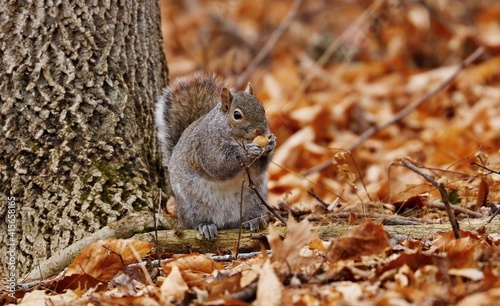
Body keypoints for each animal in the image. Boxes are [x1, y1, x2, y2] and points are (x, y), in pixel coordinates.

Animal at [154, 73, 276, 239]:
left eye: (262, 108)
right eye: (237, 115)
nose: (261, 130)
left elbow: (259, 168)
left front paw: (271, 143)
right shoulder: (206, 147)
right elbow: (219, 165)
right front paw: (247, 150)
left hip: (256, 200)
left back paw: (253, 221)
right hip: (192, 206)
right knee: (194, 222)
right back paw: (205, 226)